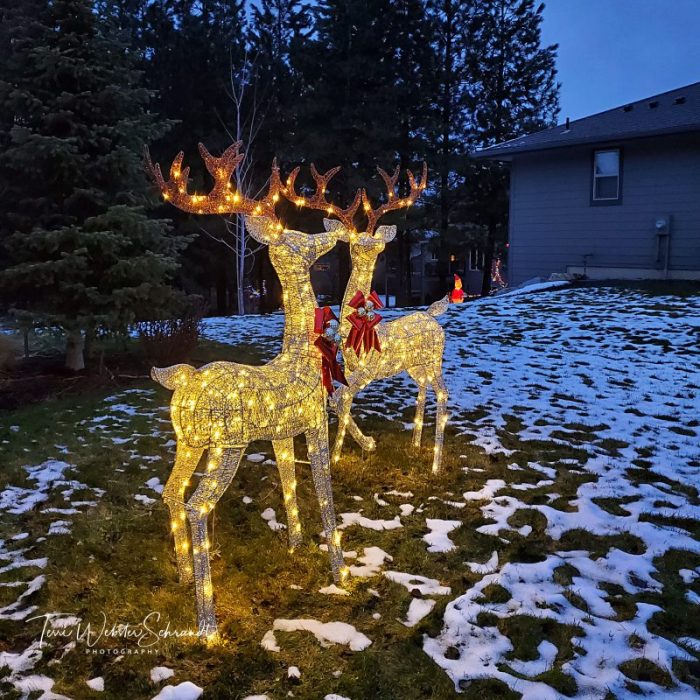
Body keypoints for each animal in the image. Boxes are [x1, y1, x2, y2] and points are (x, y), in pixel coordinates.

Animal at [144, 142, 357, 637]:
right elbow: (323, 489)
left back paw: (184, 575)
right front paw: (340, 571)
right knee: (198, 505)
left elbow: (288, 482)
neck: (301, 356)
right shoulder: (314, 422)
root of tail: (183, 382)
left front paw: (296, 544)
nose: (335, 233)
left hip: (188, 440)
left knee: (171, 493)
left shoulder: (281, 432)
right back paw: (208, 625)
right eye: (299, 239)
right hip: (228, 444)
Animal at [285, 163, 450, 474]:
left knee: (444, 393)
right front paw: (347, 450)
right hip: (416, 366)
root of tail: (432, 316)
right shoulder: (349, 369)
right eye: (352, 241)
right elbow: (341, 400)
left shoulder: (368, 370)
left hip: (434, 360)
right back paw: (415, 443)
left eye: (378, 244)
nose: (370, 248)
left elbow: (341, 398)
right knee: (423, 390)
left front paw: (346, 452)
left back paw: (435, 464)